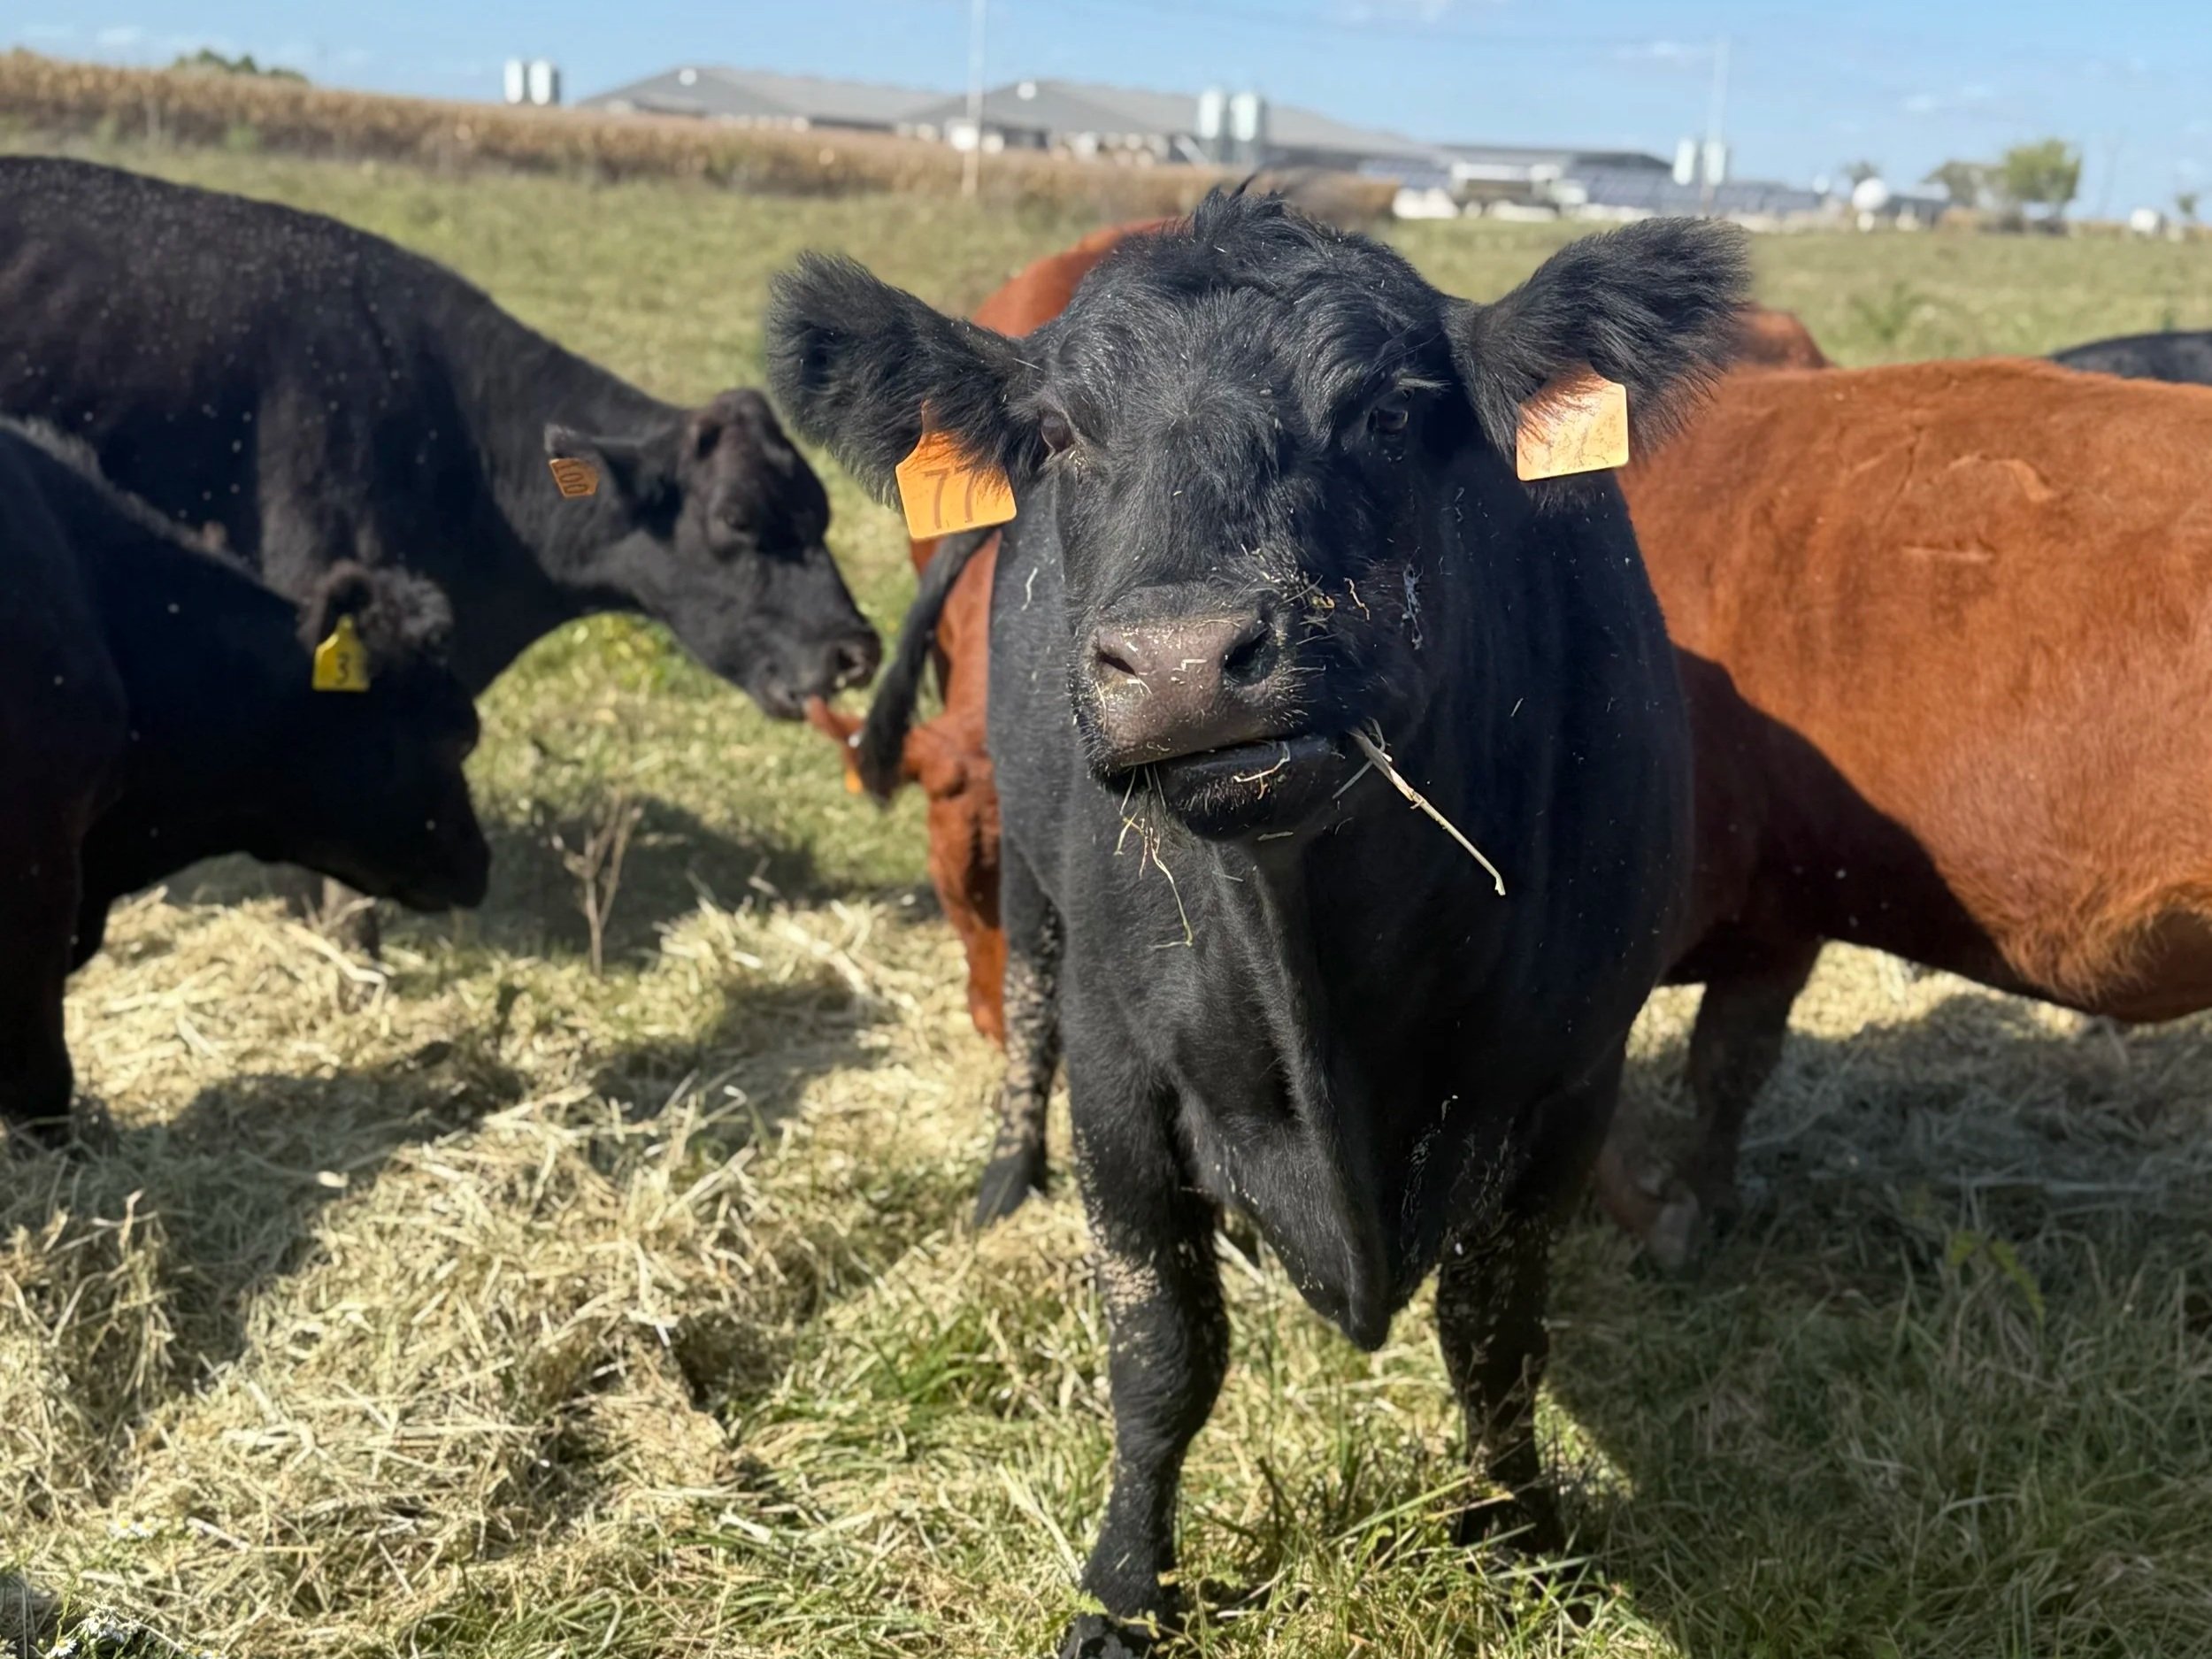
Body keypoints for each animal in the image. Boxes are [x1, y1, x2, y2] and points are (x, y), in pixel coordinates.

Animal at [770, 191, 1749, 1651]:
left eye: (1391, 412)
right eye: (1060, 430)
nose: (1184, 661)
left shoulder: (1568, 1074)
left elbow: (1497, 1340)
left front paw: (1525, 1537)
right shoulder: (1124, 1080)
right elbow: (1163, 1352)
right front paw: (1124, 1586)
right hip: (1037, 877)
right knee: (1030, 1003)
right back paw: (1003, 1182)